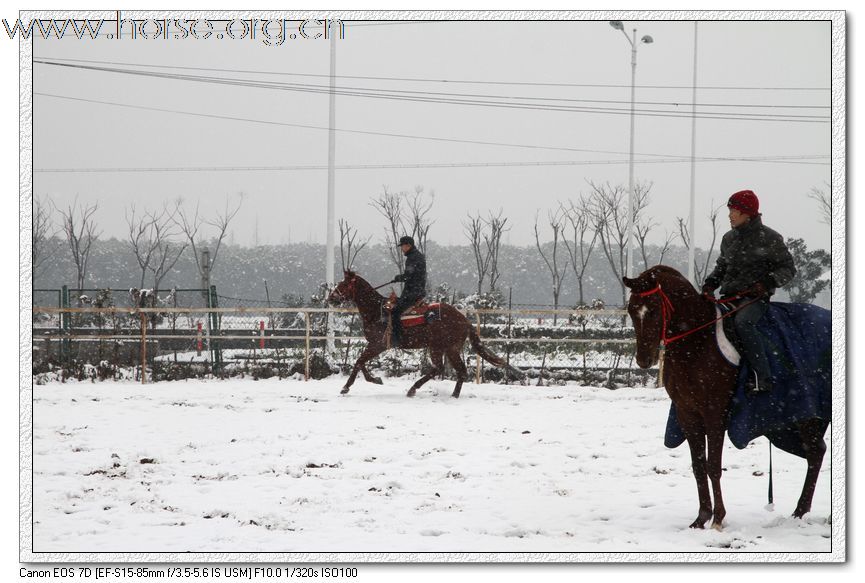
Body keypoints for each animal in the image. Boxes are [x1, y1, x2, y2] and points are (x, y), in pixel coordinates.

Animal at [328, 272, 524, 400]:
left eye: (343, 284)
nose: (330, 298)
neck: (378, 311)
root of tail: (464, 320)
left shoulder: (378, 345)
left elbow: (358, 362)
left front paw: (347, 387)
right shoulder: (374, 345)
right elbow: (361, 363)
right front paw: (375, 379)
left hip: (441, 348)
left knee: (443, 369)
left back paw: (417, 389)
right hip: (446, 348)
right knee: (453, 370)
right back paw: (450, 394)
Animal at [620, 266, 832, 532]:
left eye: (654, 309)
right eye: (631, 310)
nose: (643, 360)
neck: (697, 342)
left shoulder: (715, 414)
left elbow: (713, 466)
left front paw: (718, 518)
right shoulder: (688, 414)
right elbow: (698, 466)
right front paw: (701, 517)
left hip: (808, 414)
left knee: (815, 453)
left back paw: (801, 511)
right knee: (815, 451)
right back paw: (799, 512)